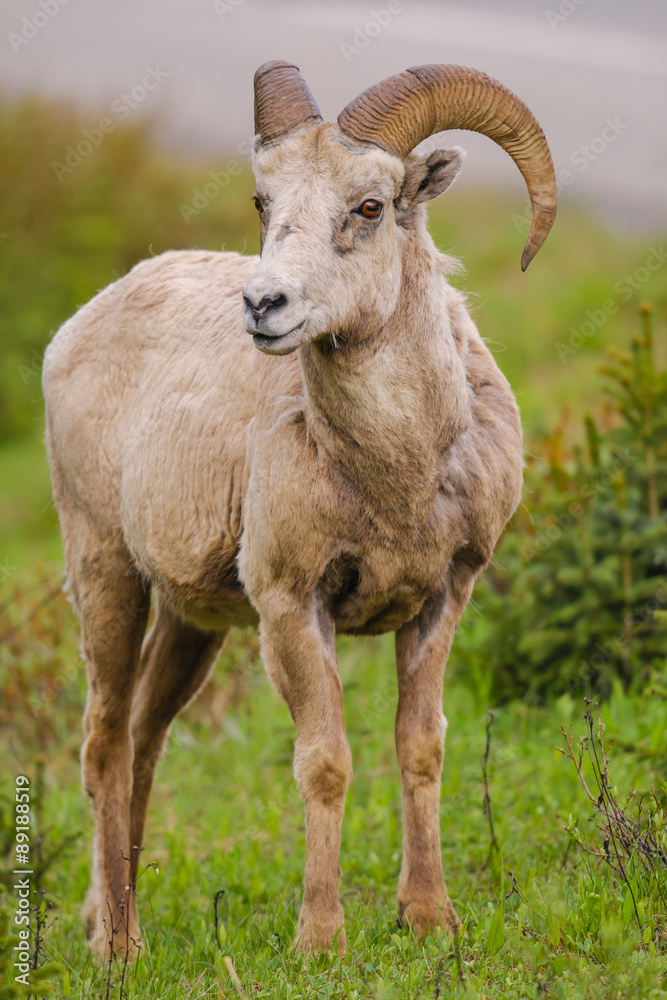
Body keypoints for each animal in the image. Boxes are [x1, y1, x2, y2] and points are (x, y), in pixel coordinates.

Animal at [42, 60, 556, 959]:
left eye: (370, 206)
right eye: (262, 201)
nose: (264, 305)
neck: (396, 473)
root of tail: (75, 329)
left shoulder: (443, 596)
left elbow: (420, 747)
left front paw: (429, 919)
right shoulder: (290, 604)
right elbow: (324, 761)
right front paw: (321, 939)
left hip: (190, 623)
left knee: (143, 738)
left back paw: (115, 916)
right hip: (104, 572)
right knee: (102, 739)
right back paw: (118, 946)